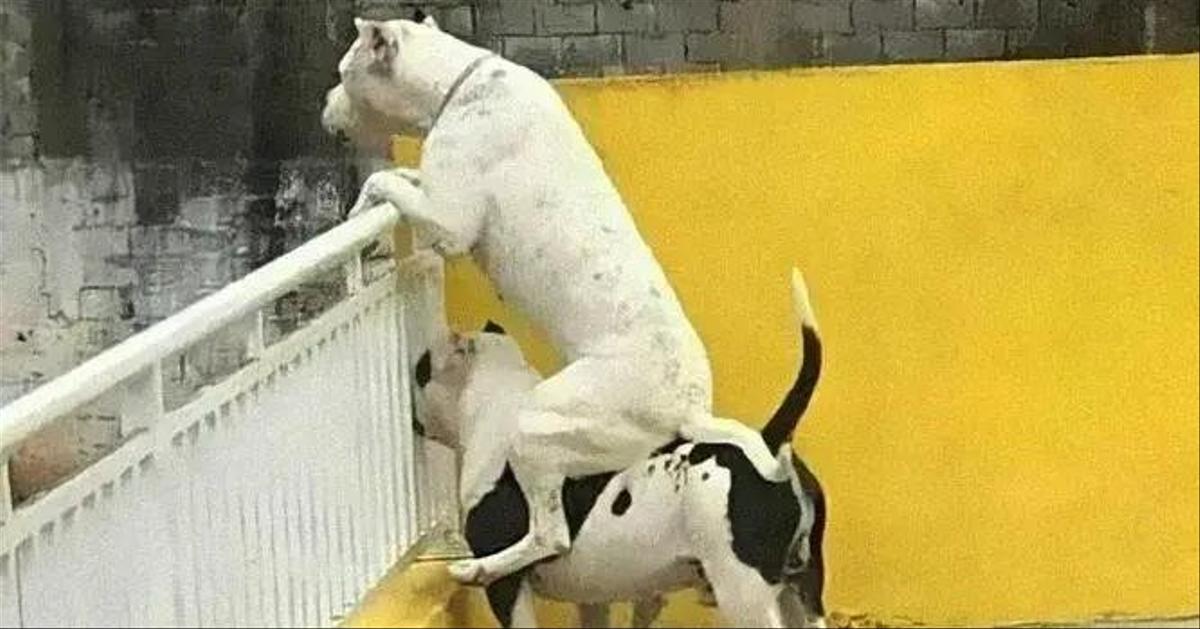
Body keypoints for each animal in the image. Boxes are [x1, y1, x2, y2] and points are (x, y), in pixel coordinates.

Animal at [322, 14, 783, 584]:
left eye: (343, 71)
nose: (324, 104)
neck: (458, 84)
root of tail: (690, 409)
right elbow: (401, 179)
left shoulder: (449, 224)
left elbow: (386, 178)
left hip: (538, 426)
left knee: (551, 534)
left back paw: (481, 567)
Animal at [415, 269, 827, 628]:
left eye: (419, 369)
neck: (496, 399)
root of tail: (770, 443)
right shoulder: (592, 599)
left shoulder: (508, 591)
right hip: (803, 591)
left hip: (744, 592)